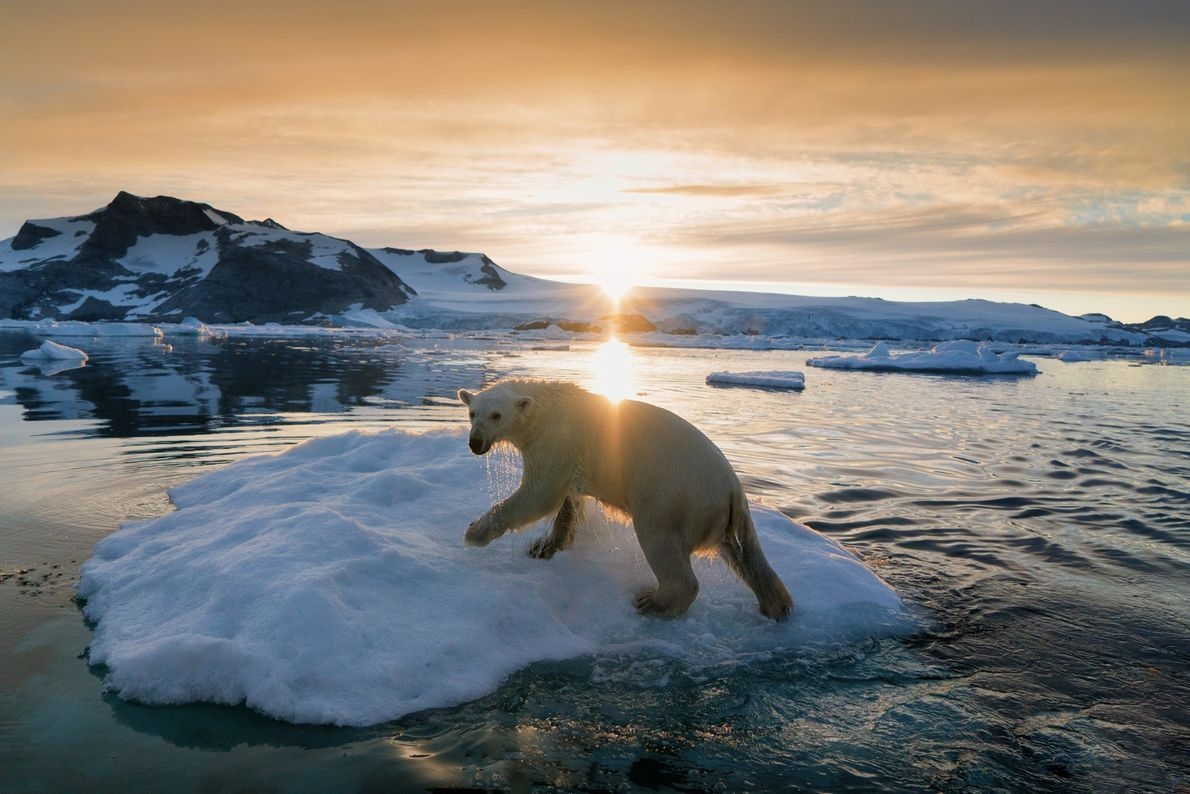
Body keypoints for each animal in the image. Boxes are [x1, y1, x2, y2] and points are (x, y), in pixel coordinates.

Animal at [459, 378, 794, 619]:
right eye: (472, 413)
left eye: (496, 415)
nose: (475, 442)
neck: (546, 410)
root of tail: (733, 490)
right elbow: (569, 502)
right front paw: (544, 547)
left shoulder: (556, 441)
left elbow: (540, 494)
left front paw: (474, 532)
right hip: (725, 515)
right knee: (747, 555)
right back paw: (777, 605)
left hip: (673, 495)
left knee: (660, 541)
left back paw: (653, 603)